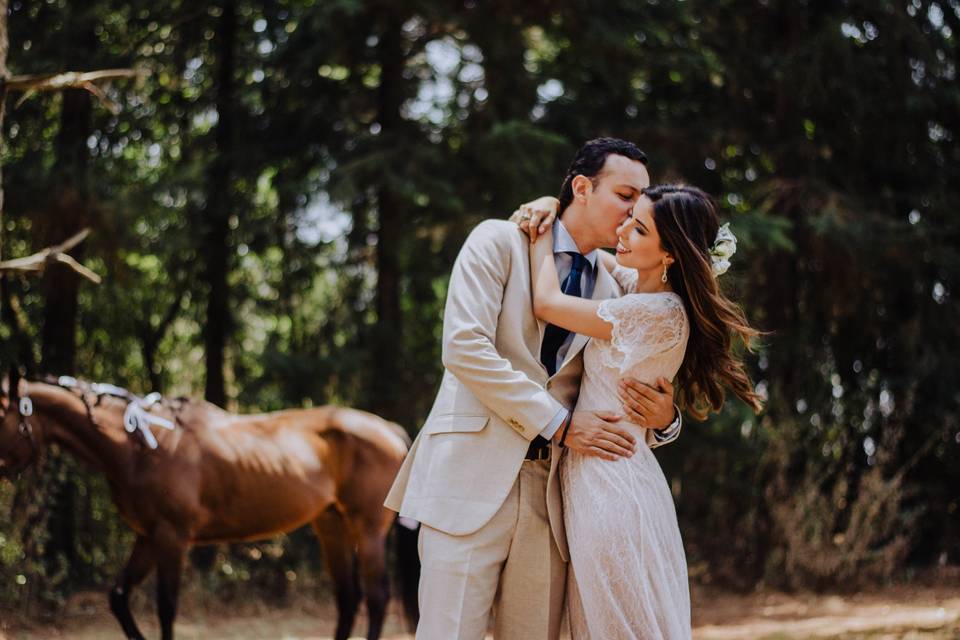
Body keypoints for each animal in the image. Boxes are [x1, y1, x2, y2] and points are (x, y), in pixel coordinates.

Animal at [0, 370, 420, 640]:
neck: (140, 446)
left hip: (368, 530)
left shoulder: (171, 537)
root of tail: (388, 428)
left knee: (377, 598)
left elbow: (166, 607)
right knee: (348, 600)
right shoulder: (147, 538)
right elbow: (119, 598)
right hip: (331, 526)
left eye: (0, 415)